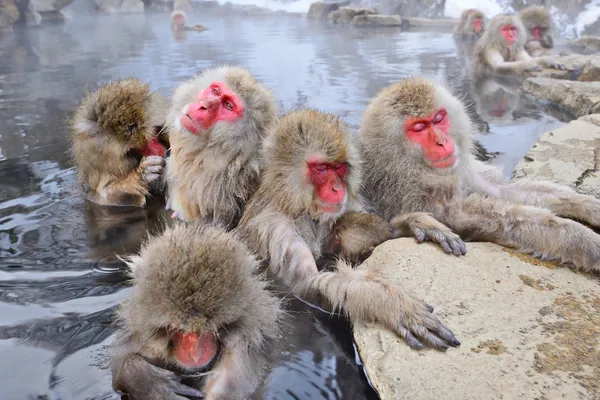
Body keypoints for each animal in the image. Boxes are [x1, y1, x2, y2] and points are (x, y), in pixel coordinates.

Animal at [237, 108, 462, 350]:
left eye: (339, 167)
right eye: (322, 168)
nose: (337, 188)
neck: (296, 206)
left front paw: (416, 223)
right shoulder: (276, 230)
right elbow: (307, 286)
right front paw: (387, 301)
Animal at [356, 76, 600, 274]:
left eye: (438, 119)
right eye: (419, 128)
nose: (442, 142)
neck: (404, 164)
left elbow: (501, 190)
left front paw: (588, 205)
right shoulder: (406, 191)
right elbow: (487, 217)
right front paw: (585, 241)